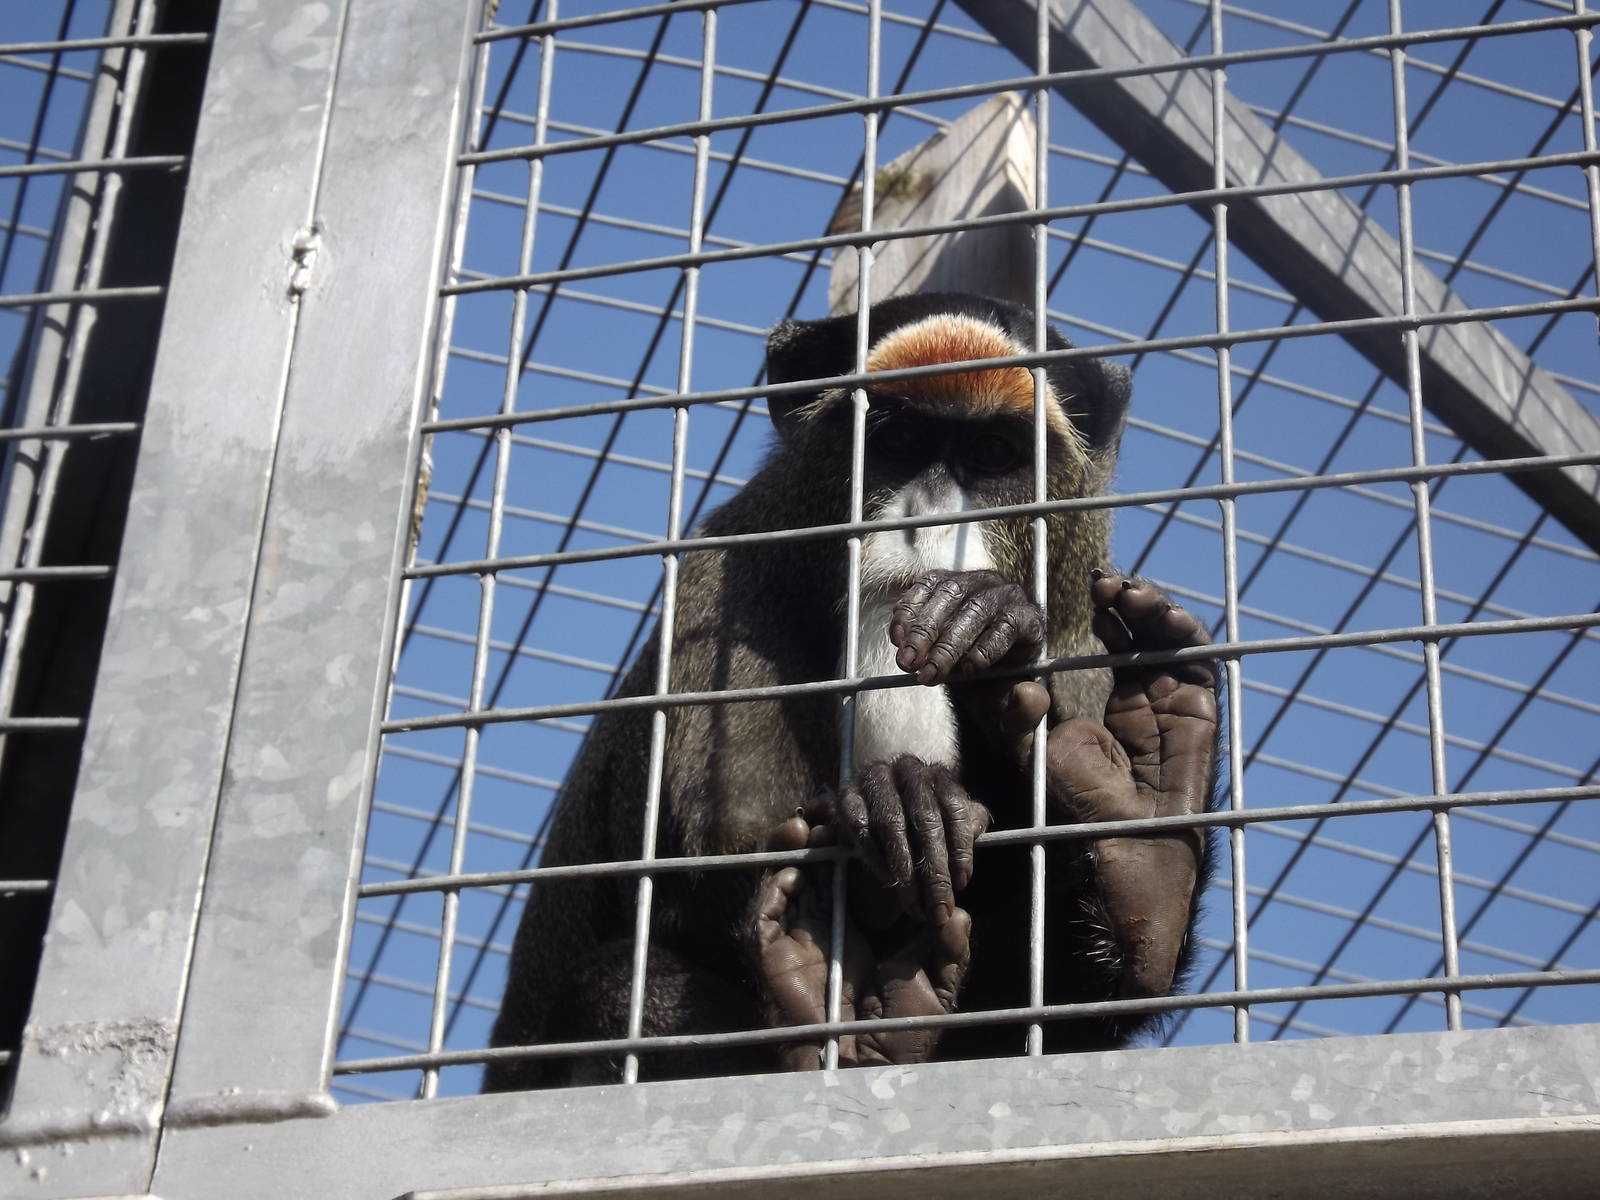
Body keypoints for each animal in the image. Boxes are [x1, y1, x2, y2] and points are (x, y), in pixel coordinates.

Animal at [483, 292, 1215, 1089]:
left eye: (993, 454)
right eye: (897, 439)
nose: (927, 518)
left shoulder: (1086, 639)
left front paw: (988, 629)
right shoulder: (720, 592)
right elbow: (688, 885)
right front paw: (902, 801)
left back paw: (1146, 842)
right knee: (629, 991)